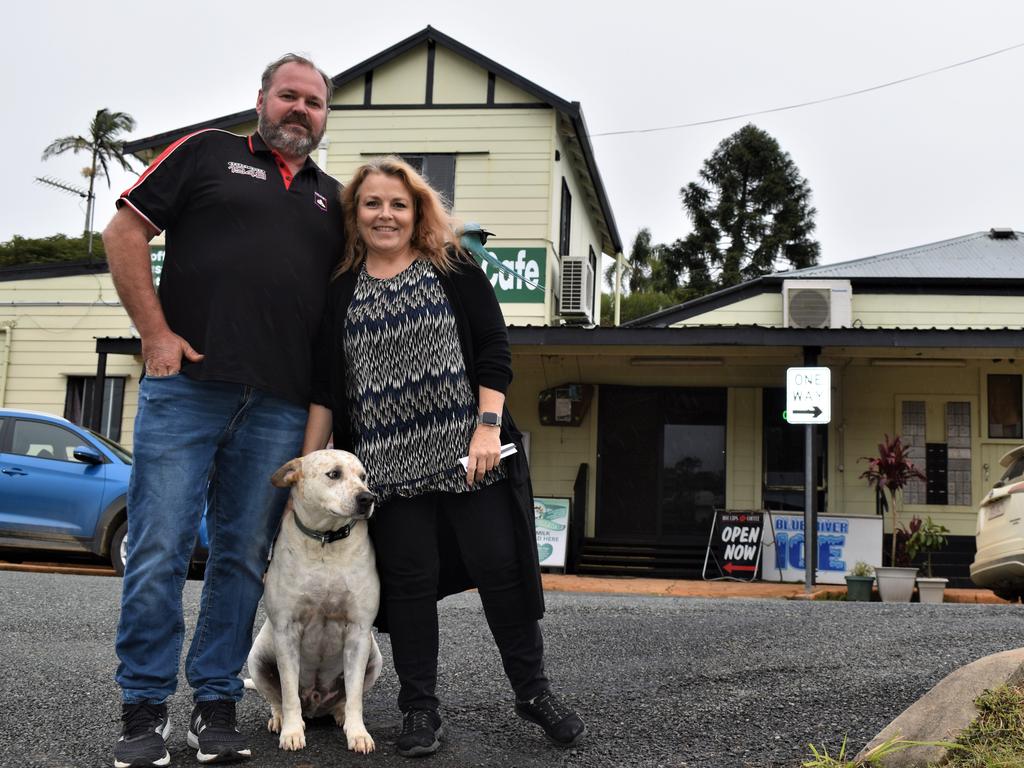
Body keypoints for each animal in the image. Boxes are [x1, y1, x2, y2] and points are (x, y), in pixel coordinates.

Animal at [245, 448, 382, 753]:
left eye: (363, 476)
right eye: (334, 474)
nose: (367, 498)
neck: (325, 543)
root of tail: (316, 706)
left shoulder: (358, 632)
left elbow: (355, 696)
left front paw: (358, 734)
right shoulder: (286, 631)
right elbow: (288, 693)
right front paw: (292, 732)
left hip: (374, 658)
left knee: (345, 698)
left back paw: (341, 715)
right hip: (257, 658)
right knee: (277, 698)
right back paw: (280, 720)